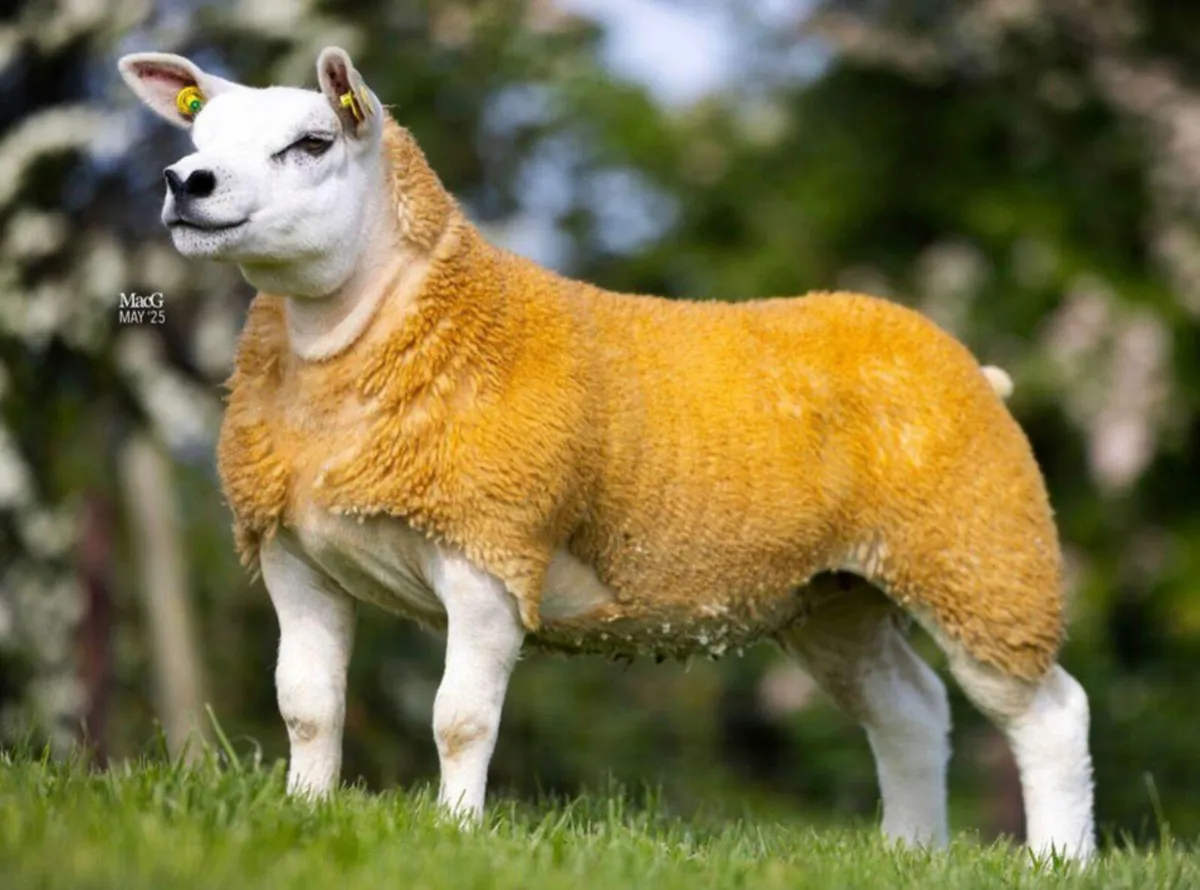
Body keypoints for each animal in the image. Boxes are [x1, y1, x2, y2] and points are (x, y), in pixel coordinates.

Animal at [118, 46, 1095, 861]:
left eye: (313, 142)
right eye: (198, 134)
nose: (185, 181)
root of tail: (971, 365)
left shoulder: (491, 548)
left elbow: (459, 719)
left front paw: (457, 832)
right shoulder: (292, 551)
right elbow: (308, 707)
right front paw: (306, 815)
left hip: (979, 553)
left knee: (1049, 715)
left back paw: (1057, 860)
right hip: (835, 594)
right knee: (909, 711)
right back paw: (910, 853)